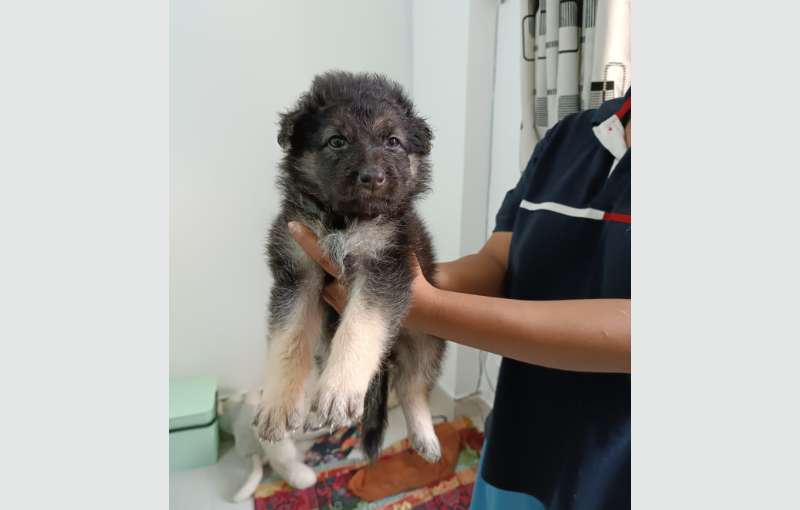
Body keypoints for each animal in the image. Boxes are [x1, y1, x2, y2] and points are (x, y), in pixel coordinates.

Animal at [255, 69, 446, 464]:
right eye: (337, 141)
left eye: (393, 141)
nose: (373, 177)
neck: (344, 221)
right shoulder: (297, 272)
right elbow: (288, 339)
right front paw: (278, 404)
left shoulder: (384, 265)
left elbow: (360, 325)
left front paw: (339, 389)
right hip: (326, 335)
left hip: (426, 339)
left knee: (412, 386)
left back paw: (424, 435)